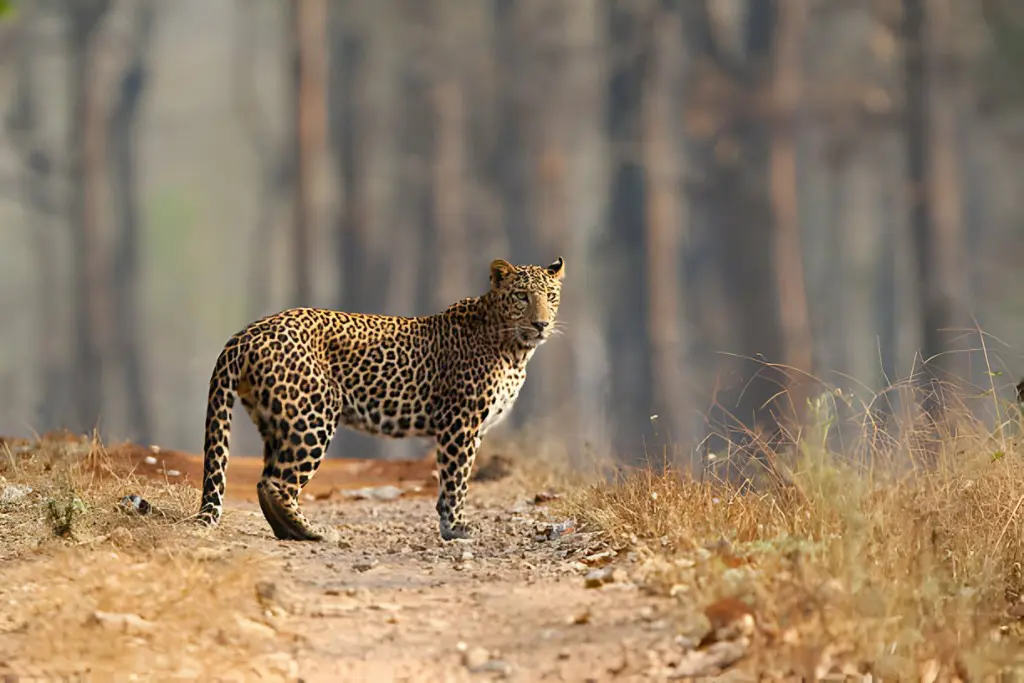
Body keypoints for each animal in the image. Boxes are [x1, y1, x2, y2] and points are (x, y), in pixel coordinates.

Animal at [194, 257, 565, 542]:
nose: (541, 324)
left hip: (277, 420)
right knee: (277, 483)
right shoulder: (460, 423)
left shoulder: (472, 428)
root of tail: (246, 333)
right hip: (312, 417)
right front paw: (457, 527)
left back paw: (292, 533)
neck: (515, 349)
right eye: (521, 296)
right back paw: (315, 532)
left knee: (265, 482)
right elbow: (456, 479)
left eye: (550, 295)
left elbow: (451, 481)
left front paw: (449, 524)